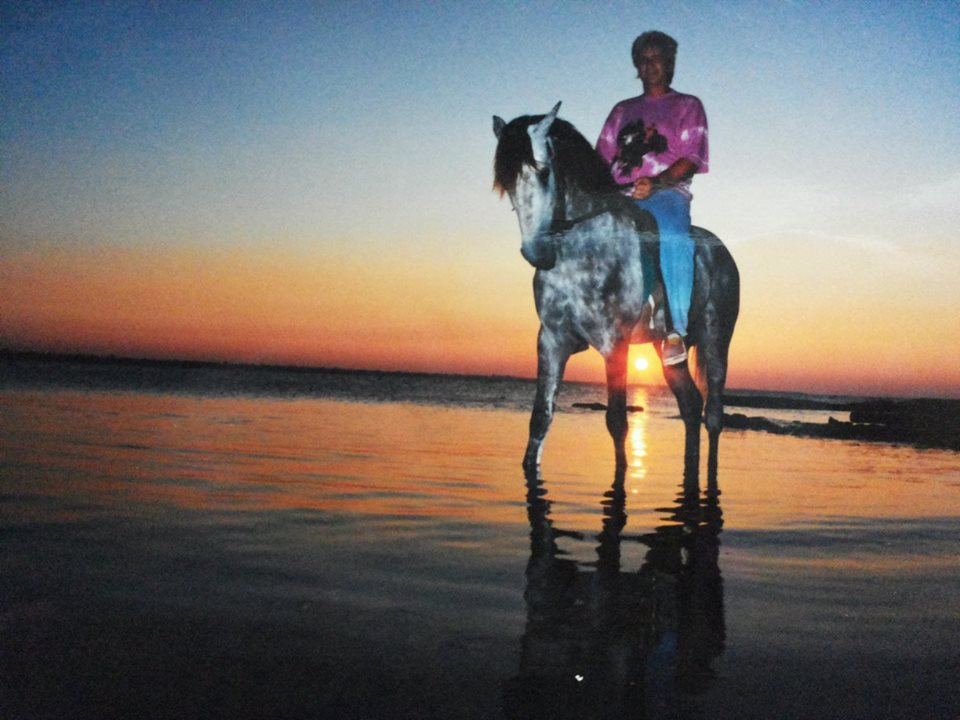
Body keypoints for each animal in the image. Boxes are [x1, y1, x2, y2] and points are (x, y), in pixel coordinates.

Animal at [492, 102, 740, 478]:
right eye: (506, 182)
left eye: (545, 172)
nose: (537, 252)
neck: (582, 251)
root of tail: (723, 252)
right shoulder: (551, 341)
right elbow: (539, 421)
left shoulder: (614, 345)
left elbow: (617, 424)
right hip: (666, 351)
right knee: (690, 405)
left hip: (716, 343)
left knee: (712, 415)